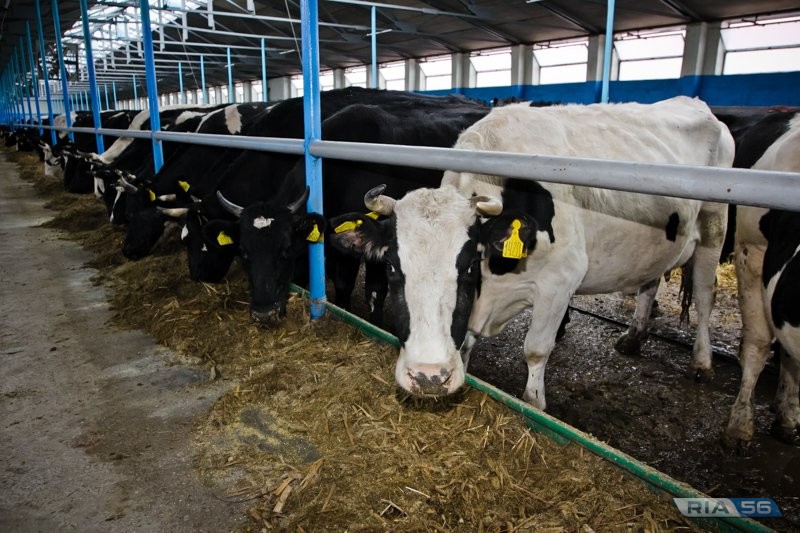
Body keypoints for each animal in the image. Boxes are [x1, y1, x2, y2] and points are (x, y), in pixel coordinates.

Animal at [328, 96, 736, 408]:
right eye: (392, 267)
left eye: (467, 266)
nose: (428, 376)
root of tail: (695, 103)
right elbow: (466, 346)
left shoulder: (561, 281)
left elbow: (536, 349)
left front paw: (535, 403)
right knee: (649, 284)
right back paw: (634, 337)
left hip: (714, 230)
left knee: (705, 294)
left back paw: (702, 363)